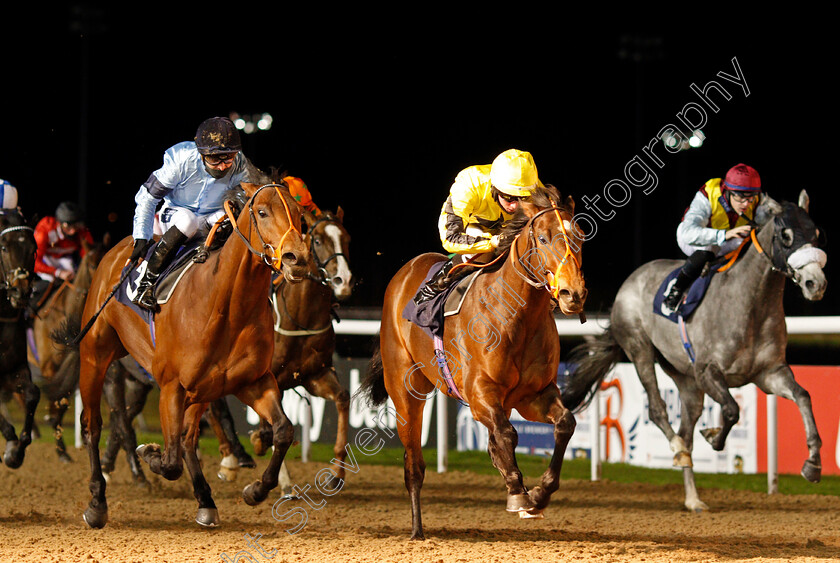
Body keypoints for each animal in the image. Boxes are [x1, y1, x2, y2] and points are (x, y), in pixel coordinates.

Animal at [76, 184, 308, 528]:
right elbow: (170, 461)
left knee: (187, 438)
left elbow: (283, 430)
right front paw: (149, 452)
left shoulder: (253, 382)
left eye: (299, 214)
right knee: (92, 424)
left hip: (202, 390)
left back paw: (206, 501)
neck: (226, 305)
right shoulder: (171, 386)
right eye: (262, 212)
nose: (298, 259)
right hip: (95, 354)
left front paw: (255, 490)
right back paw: (96, 502)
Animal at [360, 186, 584, 540]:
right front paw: (519, 493)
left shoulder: (534, 395)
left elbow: (564, 424)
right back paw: (417, 529)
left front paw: (538, 494)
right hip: (405, 391)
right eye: (544, 238)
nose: (572, 294)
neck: (516, 317)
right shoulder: (480, 393)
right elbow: (507, 434)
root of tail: (406, 271)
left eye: (580, 237)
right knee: (413, 466)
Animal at [560, 192, 824, 512]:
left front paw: (813, 464)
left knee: (686, 430)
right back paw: (677, 449)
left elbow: (803, 396)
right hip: (640, 347)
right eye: (786, 235)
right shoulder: (708, 371)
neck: (750, 305)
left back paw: (693, 497)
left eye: (815, 233)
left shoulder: (770, 373)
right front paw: (714, 436)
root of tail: (631, 280)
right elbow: (732, 410)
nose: (816, 283)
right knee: (658, 410)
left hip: (685, 379)